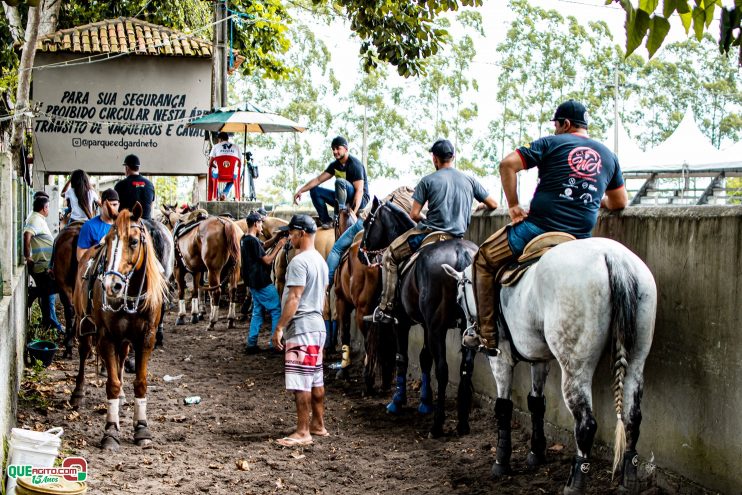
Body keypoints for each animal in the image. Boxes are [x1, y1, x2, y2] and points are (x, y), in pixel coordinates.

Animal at [70, 204, 169, 450]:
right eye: (108, 240)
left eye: (133, 241)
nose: (110, 285)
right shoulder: (106, 337)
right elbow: (111, 384)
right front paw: (111, 431)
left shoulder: (146, 338)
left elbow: (140, 382)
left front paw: (141, 428)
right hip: (83, 322)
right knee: (84, 352)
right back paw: (78, 393)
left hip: (125, 338)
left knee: (121, 357)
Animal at [362, 198, 482, 438]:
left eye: (367, 222)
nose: (363, 253)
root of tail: (459, 252)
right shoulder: (426, 325)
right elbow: (425, 358)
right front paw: (425, 403)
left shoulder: (402, 322)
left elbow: (403, 358)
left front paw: (397, 402)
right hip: (467, 329)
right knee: (466, 368)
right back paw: (462, 424)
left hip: (437, 328)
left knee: (443, 370)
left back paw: (437, 425)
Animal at [442, 238, 656, 494]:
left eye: (458, 298)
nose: (469, 336)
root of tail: (612, 256)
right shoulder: (539, 359)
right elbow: (536, 403)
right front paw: (536, 453)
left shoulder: (500, 360)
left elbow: (503, 406)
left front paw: (501, 463)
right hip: (635, 360)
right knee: (633, 416)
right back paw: (629, 481)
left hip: (575, 369)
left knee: (586, 425)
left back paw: (575, 484)